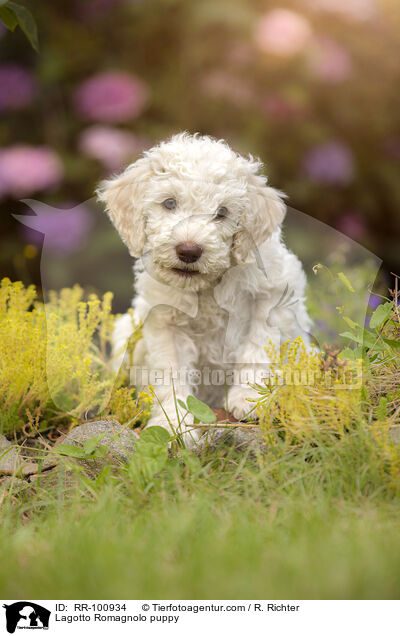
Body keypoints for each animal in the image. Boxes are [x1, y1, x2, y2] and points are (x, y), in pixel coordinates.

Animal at [97, 132, 312, 444]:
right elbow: (170, 376)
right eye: (170, 203)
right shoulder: (165, 324)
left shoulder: (272, 297)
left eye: (222, 213)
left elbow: (258, 346)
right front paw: (173, 425)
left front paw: (249, 397)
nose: (189, 250)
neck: (206, 287)